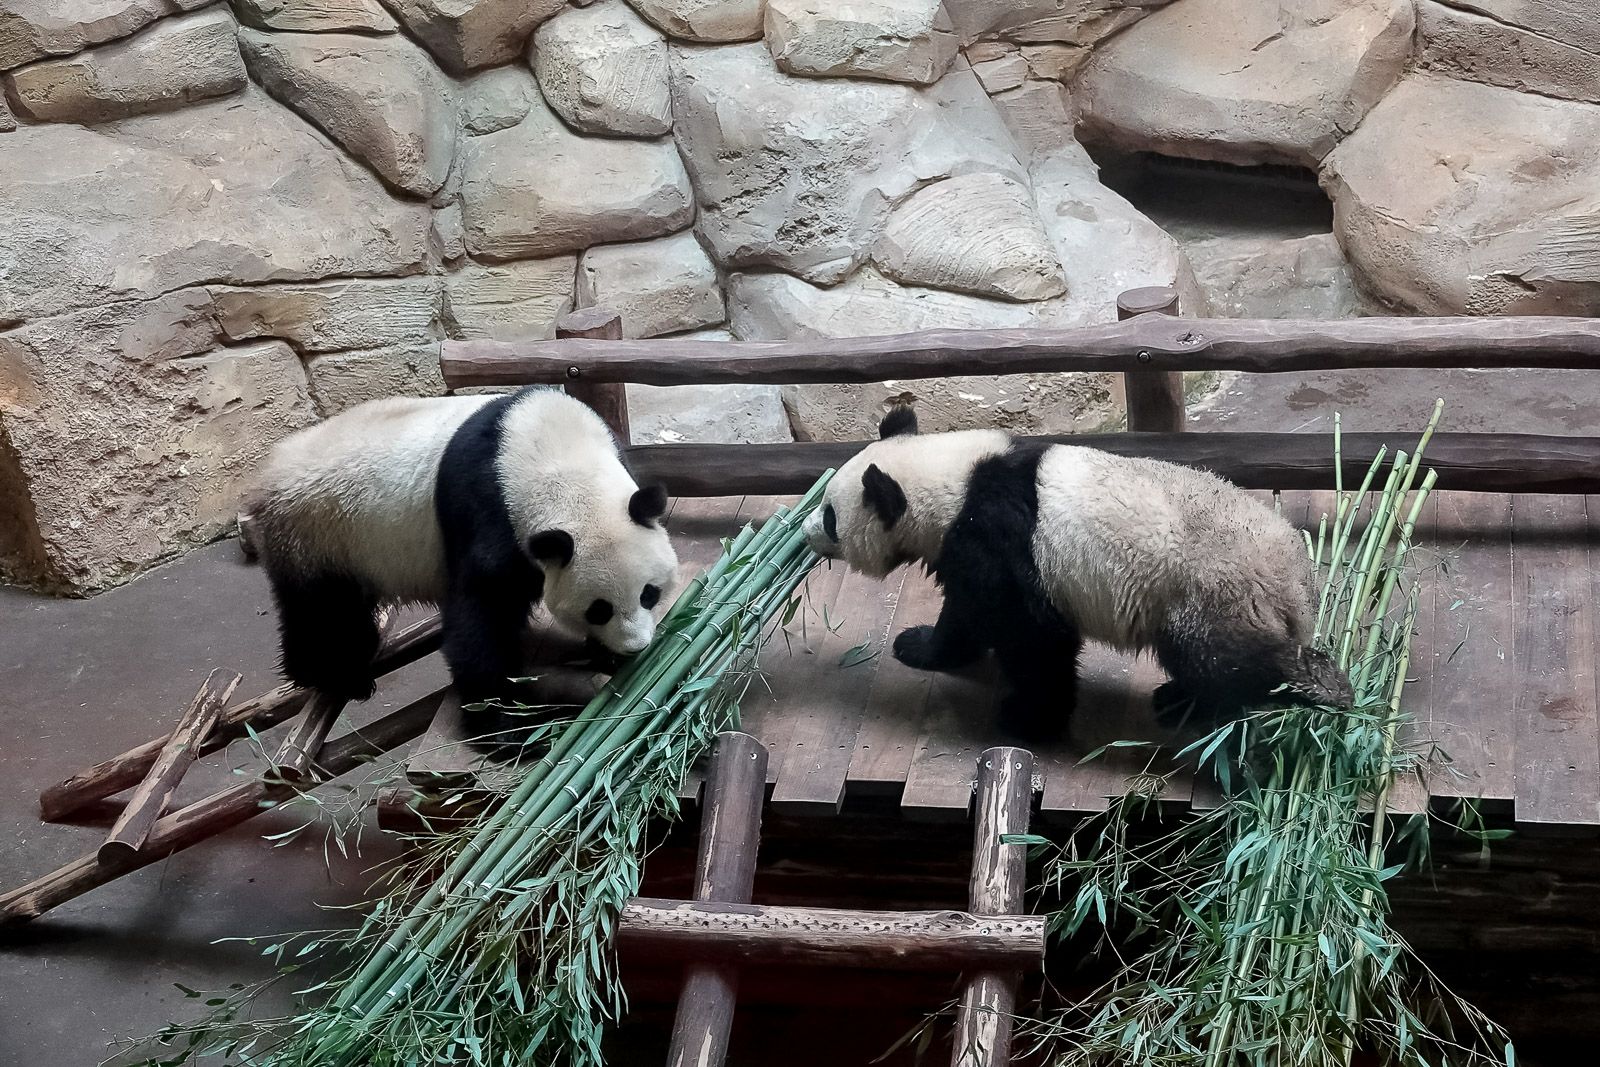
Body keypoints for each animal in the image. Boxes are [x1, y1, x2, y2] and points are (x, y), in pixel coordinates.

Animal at [243, 388, 681, 739]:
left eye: (649, 593)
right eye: (599, 609)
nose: (634, 647)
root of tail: (269, 470)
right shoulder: (488, 509)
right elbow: (481, 610)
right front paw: (501, 721)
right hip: (316, 533)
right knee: (322, 611)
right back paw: (337, 675)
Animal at [800, 404, 1350, 748]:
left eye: (830, 515)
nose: (805, 532)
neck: (957, 483)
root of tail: (1296, 585)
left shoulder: (999, 540)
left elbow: (1033, 636)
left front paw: (1026, 718)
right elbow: (964, 612)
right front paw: (919, 646)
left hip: (1212, 593)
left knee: (1225, 663)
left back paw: (1296, 689)